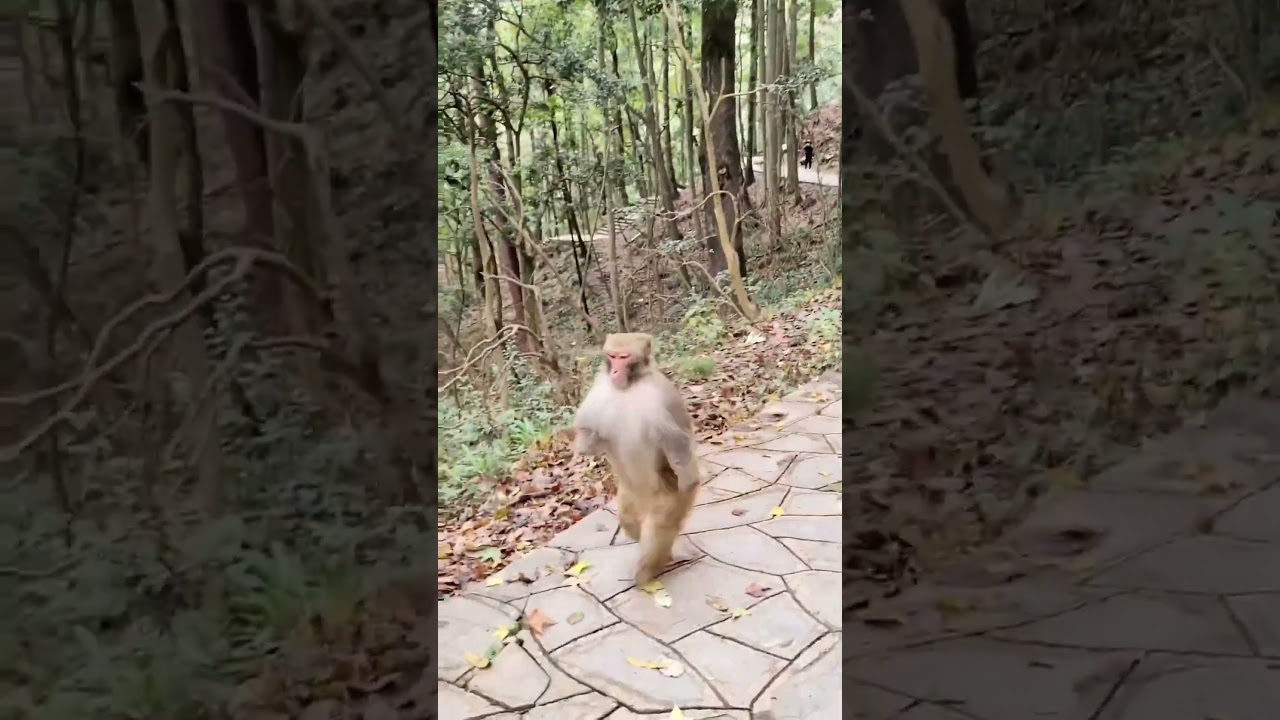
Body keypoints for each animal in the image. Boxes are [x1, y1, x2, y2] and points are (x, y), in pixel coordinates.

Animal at [573, 333, 700, 586]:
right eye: (612, 356)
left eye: (624, 357)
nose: (615, 371)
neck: (630, 386)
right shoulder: (601, 387)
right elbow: (590, 441)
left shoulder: (658, 397)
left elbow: (677, 440)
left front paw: (689, 481)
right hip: (630, 494)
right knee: (630, 521)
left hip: (665, 493)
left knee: (659, 527)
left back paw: (649, 571)